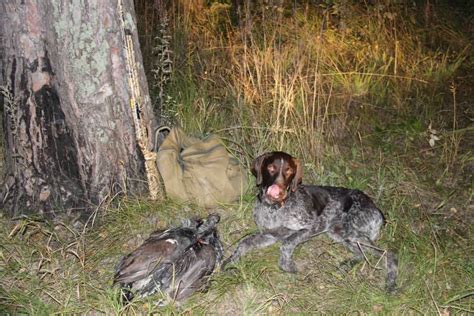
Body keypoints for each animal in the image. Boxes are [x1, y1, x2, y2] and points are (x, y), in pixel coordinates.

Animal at [224, 152, 398, 292]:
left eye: (289, 170)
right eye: (271, 168)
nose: (277, 191)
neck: (274, 209)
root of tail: (375, 207)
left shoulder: (309, 227)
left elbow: (286, 243)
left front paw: (288, 266)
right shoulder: (268, 235)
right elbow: (244, 242)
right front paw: (231, 260)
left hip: (352, 232)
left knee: (389, 254)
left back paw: (391, 284)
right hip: (340, 233)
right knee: (361, 254)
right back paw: (346, 266)